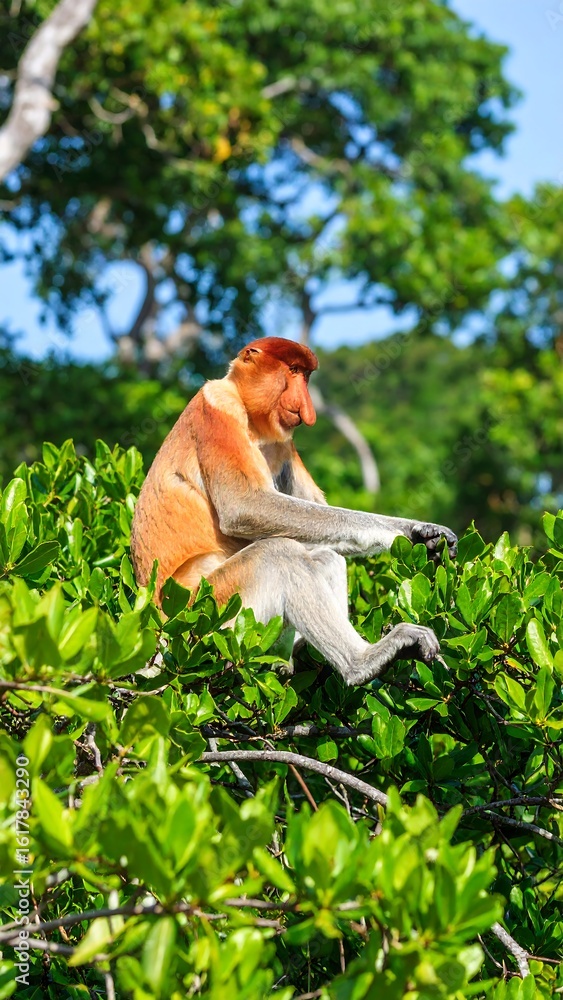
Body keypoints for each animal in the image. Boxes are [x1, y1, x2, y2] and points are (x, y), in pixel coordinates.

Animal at [130, 337, 457, 686]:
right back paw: (364, 663)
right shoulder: (218, 410)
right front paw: (402, 533)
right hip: (209, 616)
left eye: (305, 375)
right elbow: (245, 506)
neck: (251, 419)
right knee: (279, 555)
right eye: (293, 370)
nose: (307, 410)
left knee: (324, 556)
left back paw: (290, 658)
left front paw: (423, 534)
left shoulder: (282, 444)